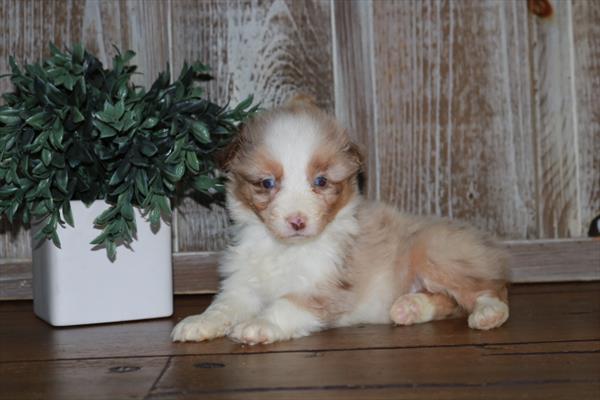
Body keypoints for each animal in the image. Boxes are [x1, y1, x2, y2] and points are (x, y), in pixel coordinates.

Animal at [171, 98, 508, 346]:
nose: (297, 221)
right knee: (450, 303)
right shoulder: (243, 284)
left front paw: (259, 325)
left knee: (490, 290)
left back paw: (487, 314)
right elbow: (224, 306)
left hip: (435, 252)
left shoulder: (325, 286)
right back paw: (409, 307)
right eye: (267, 183)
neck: (284, 249)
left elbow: (286, 304)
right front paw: (198, 323)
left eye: (320, 181)